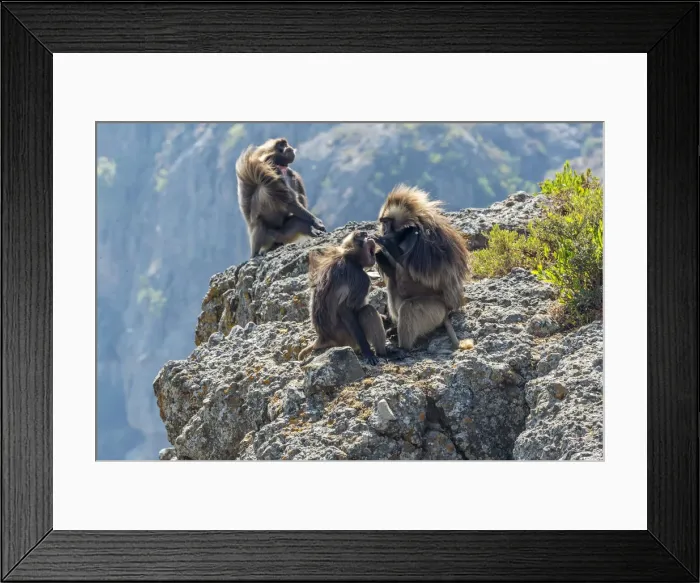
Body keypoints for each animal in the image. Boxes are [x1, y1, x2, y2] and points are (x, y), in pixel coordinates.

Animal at [298, 231, 387, 365]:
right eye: (363, 235)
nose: (370, 236)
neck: (350, 258)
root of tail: (323, 338)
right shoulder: (361, 278)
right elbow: (345, 309)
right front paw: (368, 352)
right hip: (348, 338)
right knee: (367, 311)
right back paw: (385, 353)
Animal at [374, 184, 474, 351]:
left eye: (387, 221)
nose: (384, 230)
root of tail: (447, 312)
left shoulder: (417, 240)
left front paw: (386, 246)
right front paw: (380, 253)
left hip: (436, 311)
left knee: (408, 307)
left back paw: (403, 349)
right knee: (393, 284)